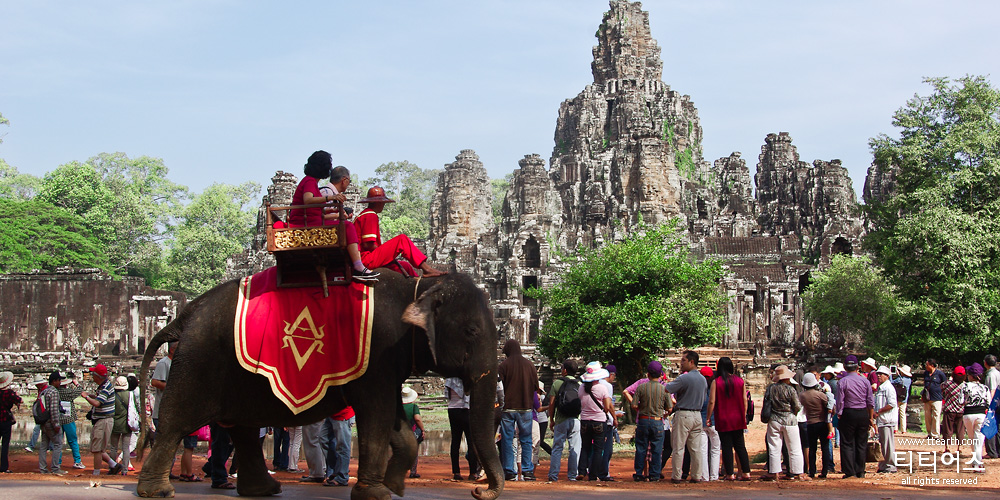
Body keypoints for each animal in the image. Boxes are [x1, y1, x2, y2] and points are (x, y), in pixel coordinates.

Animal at [136, 270, 504, 500]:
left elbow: (398, 424)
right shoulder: (378, 357)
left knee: (242, 429)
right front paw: (376, 492)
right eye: (471, 331)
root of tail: (186, 313)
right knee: (175, 423)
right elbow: (376, 416)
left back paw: (262, 489)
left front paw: (395, 486)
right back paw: (156, 490)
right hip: (198, 361)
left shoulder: (388, 368)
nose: (479, 490)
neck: (418, 287)